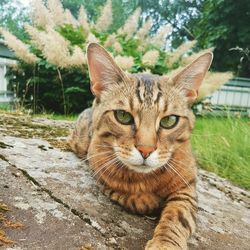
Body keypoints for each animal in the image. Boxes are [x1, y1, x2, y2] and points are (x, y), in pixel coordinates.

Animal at [69, 43, 213, 250]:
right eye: (122, 116)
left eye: (169, 120)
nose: (146, 150)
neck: (145, 179)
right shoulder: (98, 171)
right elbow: (122, 193)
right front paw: (147, 200)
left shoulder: (187, 188)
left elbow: (178, 217)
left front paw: (165, 243)